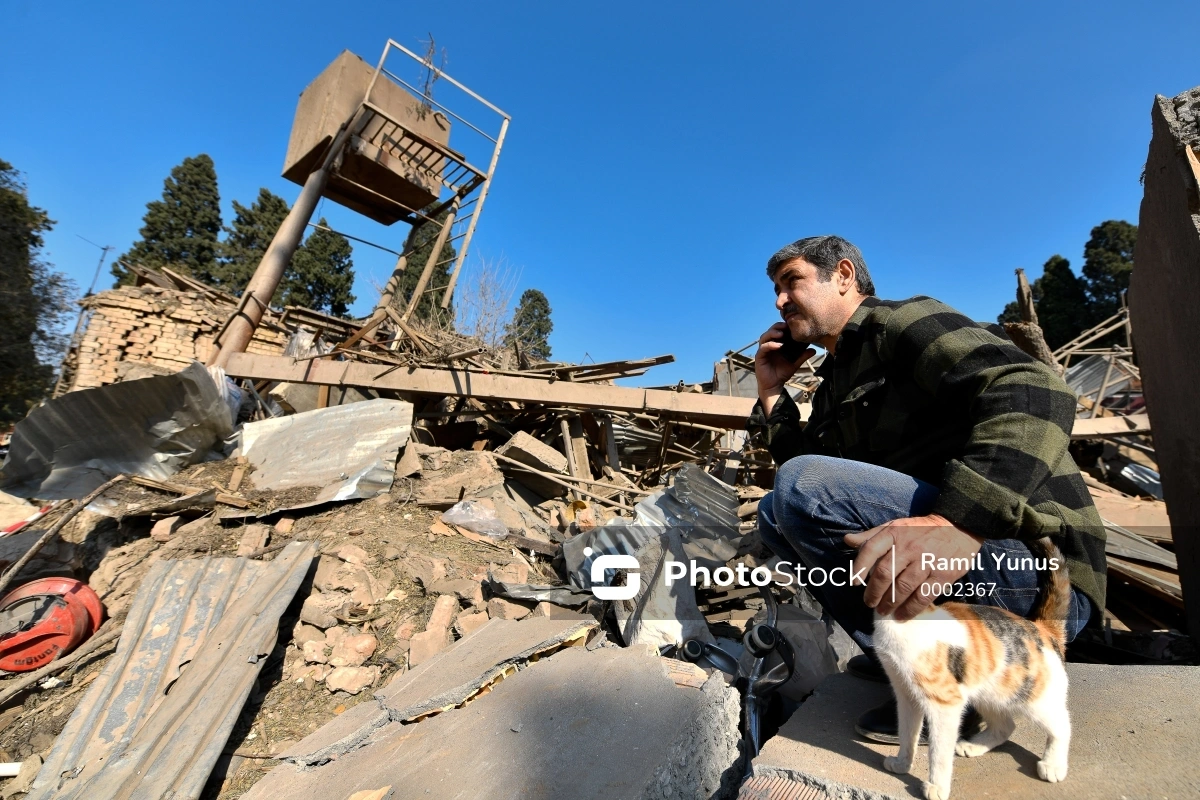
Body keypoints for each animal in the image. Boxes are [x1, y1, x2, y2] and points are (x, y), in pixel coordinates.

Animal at [873, 537, 1070, 800]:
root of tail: (1042, 628)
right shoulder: (905, 694)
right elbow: (907, 733)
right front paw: (902, 763)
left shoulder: (945, 702)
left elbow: (938, 751)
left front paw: (937, 786)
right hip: (987, 693)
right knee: (1006, 725)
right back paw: (974, 746)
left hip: (1033, 699)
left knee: (1062, 725)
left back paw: (1053, 764)